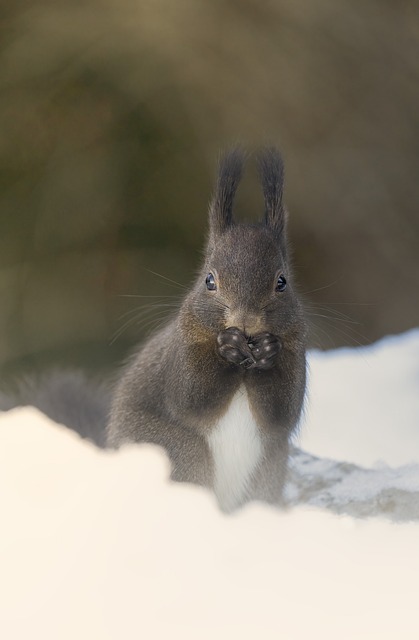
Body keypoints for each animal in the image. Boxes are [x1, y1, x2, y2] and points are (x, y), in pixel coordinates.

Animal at [107, 147, 307, 512]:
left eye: (282, 282)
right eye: (209, 281)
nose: (244, 320)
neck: (244, 368)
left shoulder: (297, 348)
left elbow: (282, 412)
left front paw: (267, 352)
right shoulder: (182, 348)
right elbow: (190, 397)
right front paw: (226, 347)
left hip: (267, 471)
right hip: (179, 452)